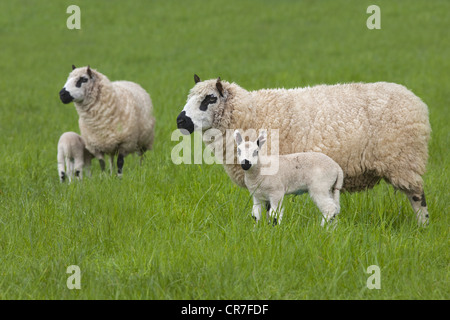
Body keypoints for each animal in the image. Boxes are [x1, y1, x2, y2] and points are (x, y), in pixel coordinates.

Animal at [176, 75, 432, 225]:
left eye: (210, 99)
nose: (181, 121)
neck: (250, 113)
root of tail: (417, 102)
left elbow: (271, 209)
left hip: (403, 160)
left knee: (417, 196)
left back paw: (423, 226)